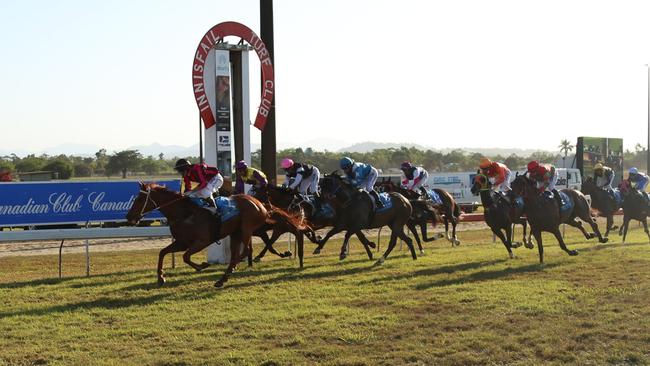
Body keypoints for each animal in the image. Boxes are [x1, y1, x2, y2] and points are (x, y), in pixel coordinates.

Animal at [126, 182, 304, 288]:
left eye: (140, 199)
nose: (129, 217)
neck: (185, 214)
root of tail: (260, 204)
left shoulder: (202, 241)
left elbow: (185, 256)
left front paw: (202, 265)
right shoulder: (182, 242)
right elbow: (163, 252)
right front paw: (161, 277)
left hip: (246, 229)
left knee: (245, 251)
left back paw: (224, 276)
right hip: (236, 233)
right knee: (237, 254)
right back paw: (224, 277)